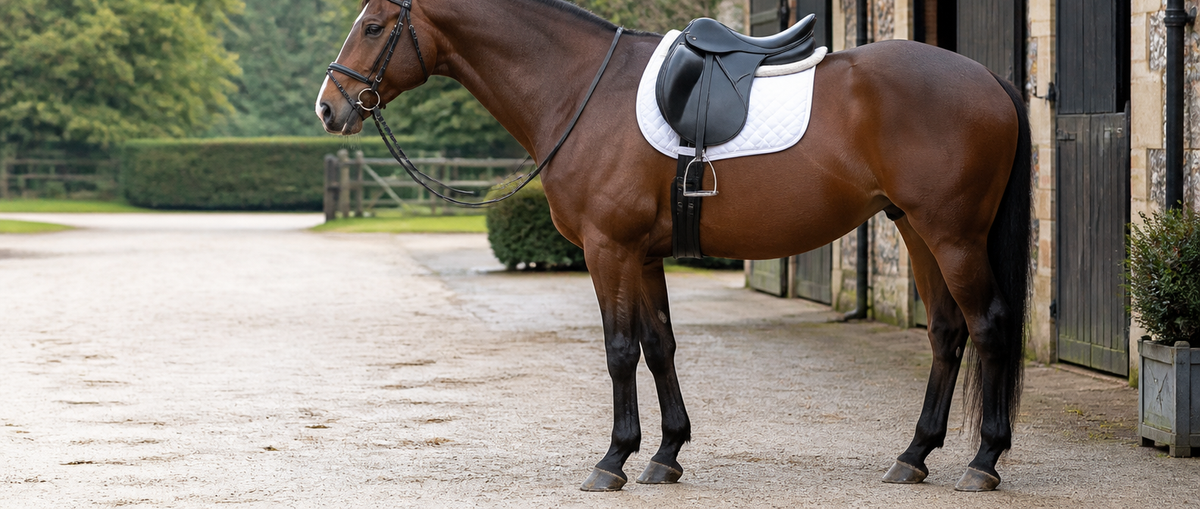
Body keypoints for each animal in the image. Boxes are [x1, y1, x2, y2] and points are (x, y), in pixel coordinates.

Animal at [316, 0, 1030, 493]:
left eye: (374, 25)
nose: (329, 108)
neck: (582, 89)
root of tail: (988, 79)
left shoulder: (608, 249)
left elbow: (619, 351)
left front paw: (612, 460)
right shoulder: (645, 253)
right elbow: (659, 346)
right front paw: (665, 455)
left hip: (952, 234)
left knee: (989, 326)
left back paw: (984, 461)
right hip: (916, 229)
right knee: (946, 332)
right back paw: (914, 456)